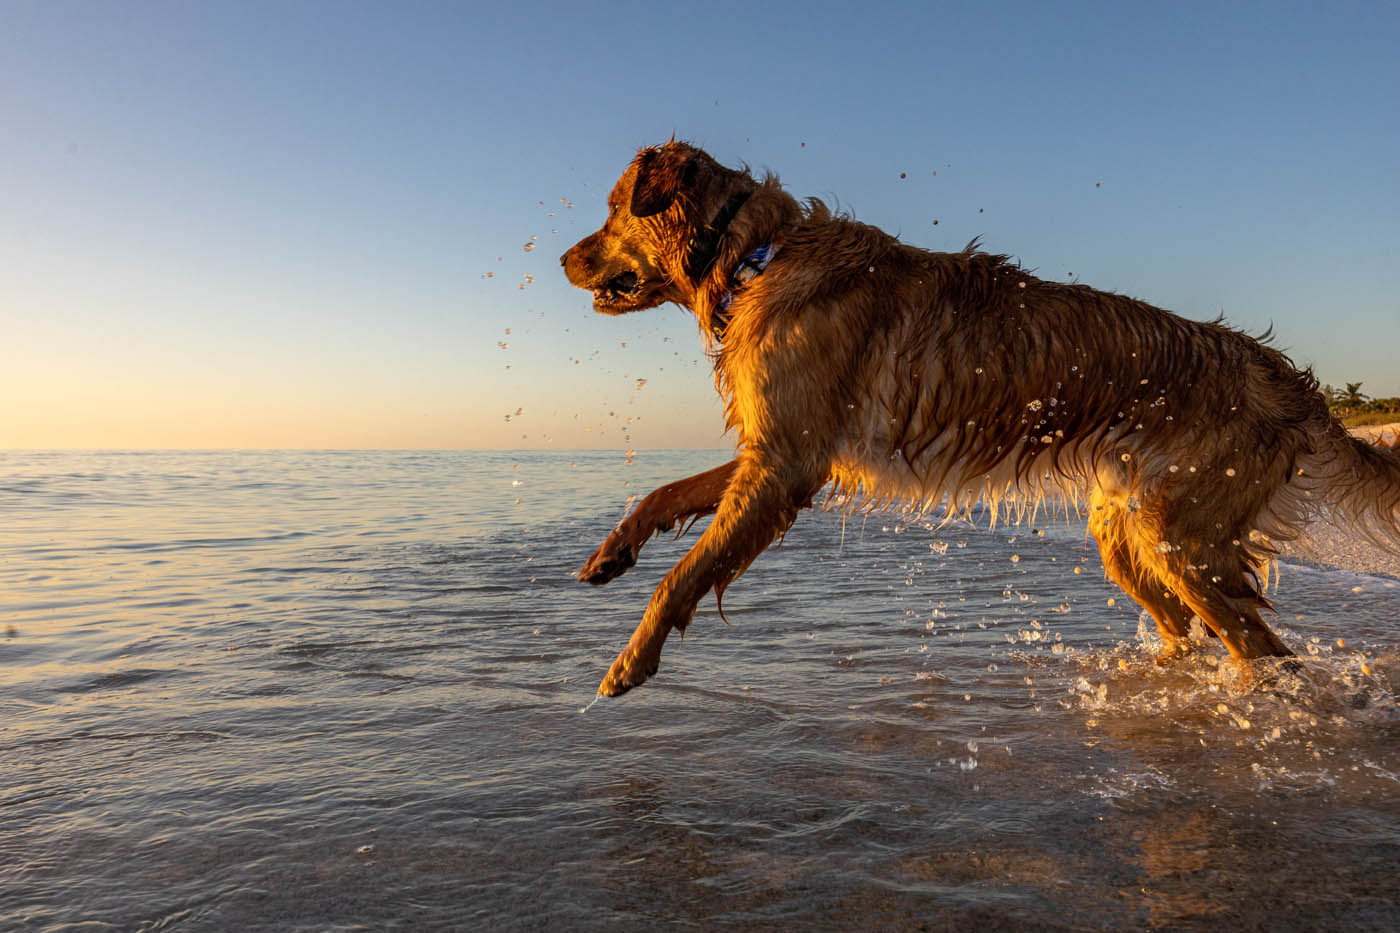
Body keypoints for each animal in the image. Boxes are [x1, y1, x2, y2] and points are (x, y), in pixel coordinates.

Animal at [560, 141, 1400, 694]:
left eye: (610, 210)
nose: (565, 258)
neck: (757, 253)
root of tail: (1282, 375)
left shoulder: (786, 464)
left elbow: (686, 573)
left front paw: (628, 661)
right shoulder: (782, 448)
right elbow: (662, 494)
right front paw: (611, 553)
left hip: (1187, 539)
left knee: (1266, 651)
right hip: (1130, 531)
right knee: (1189, 630)